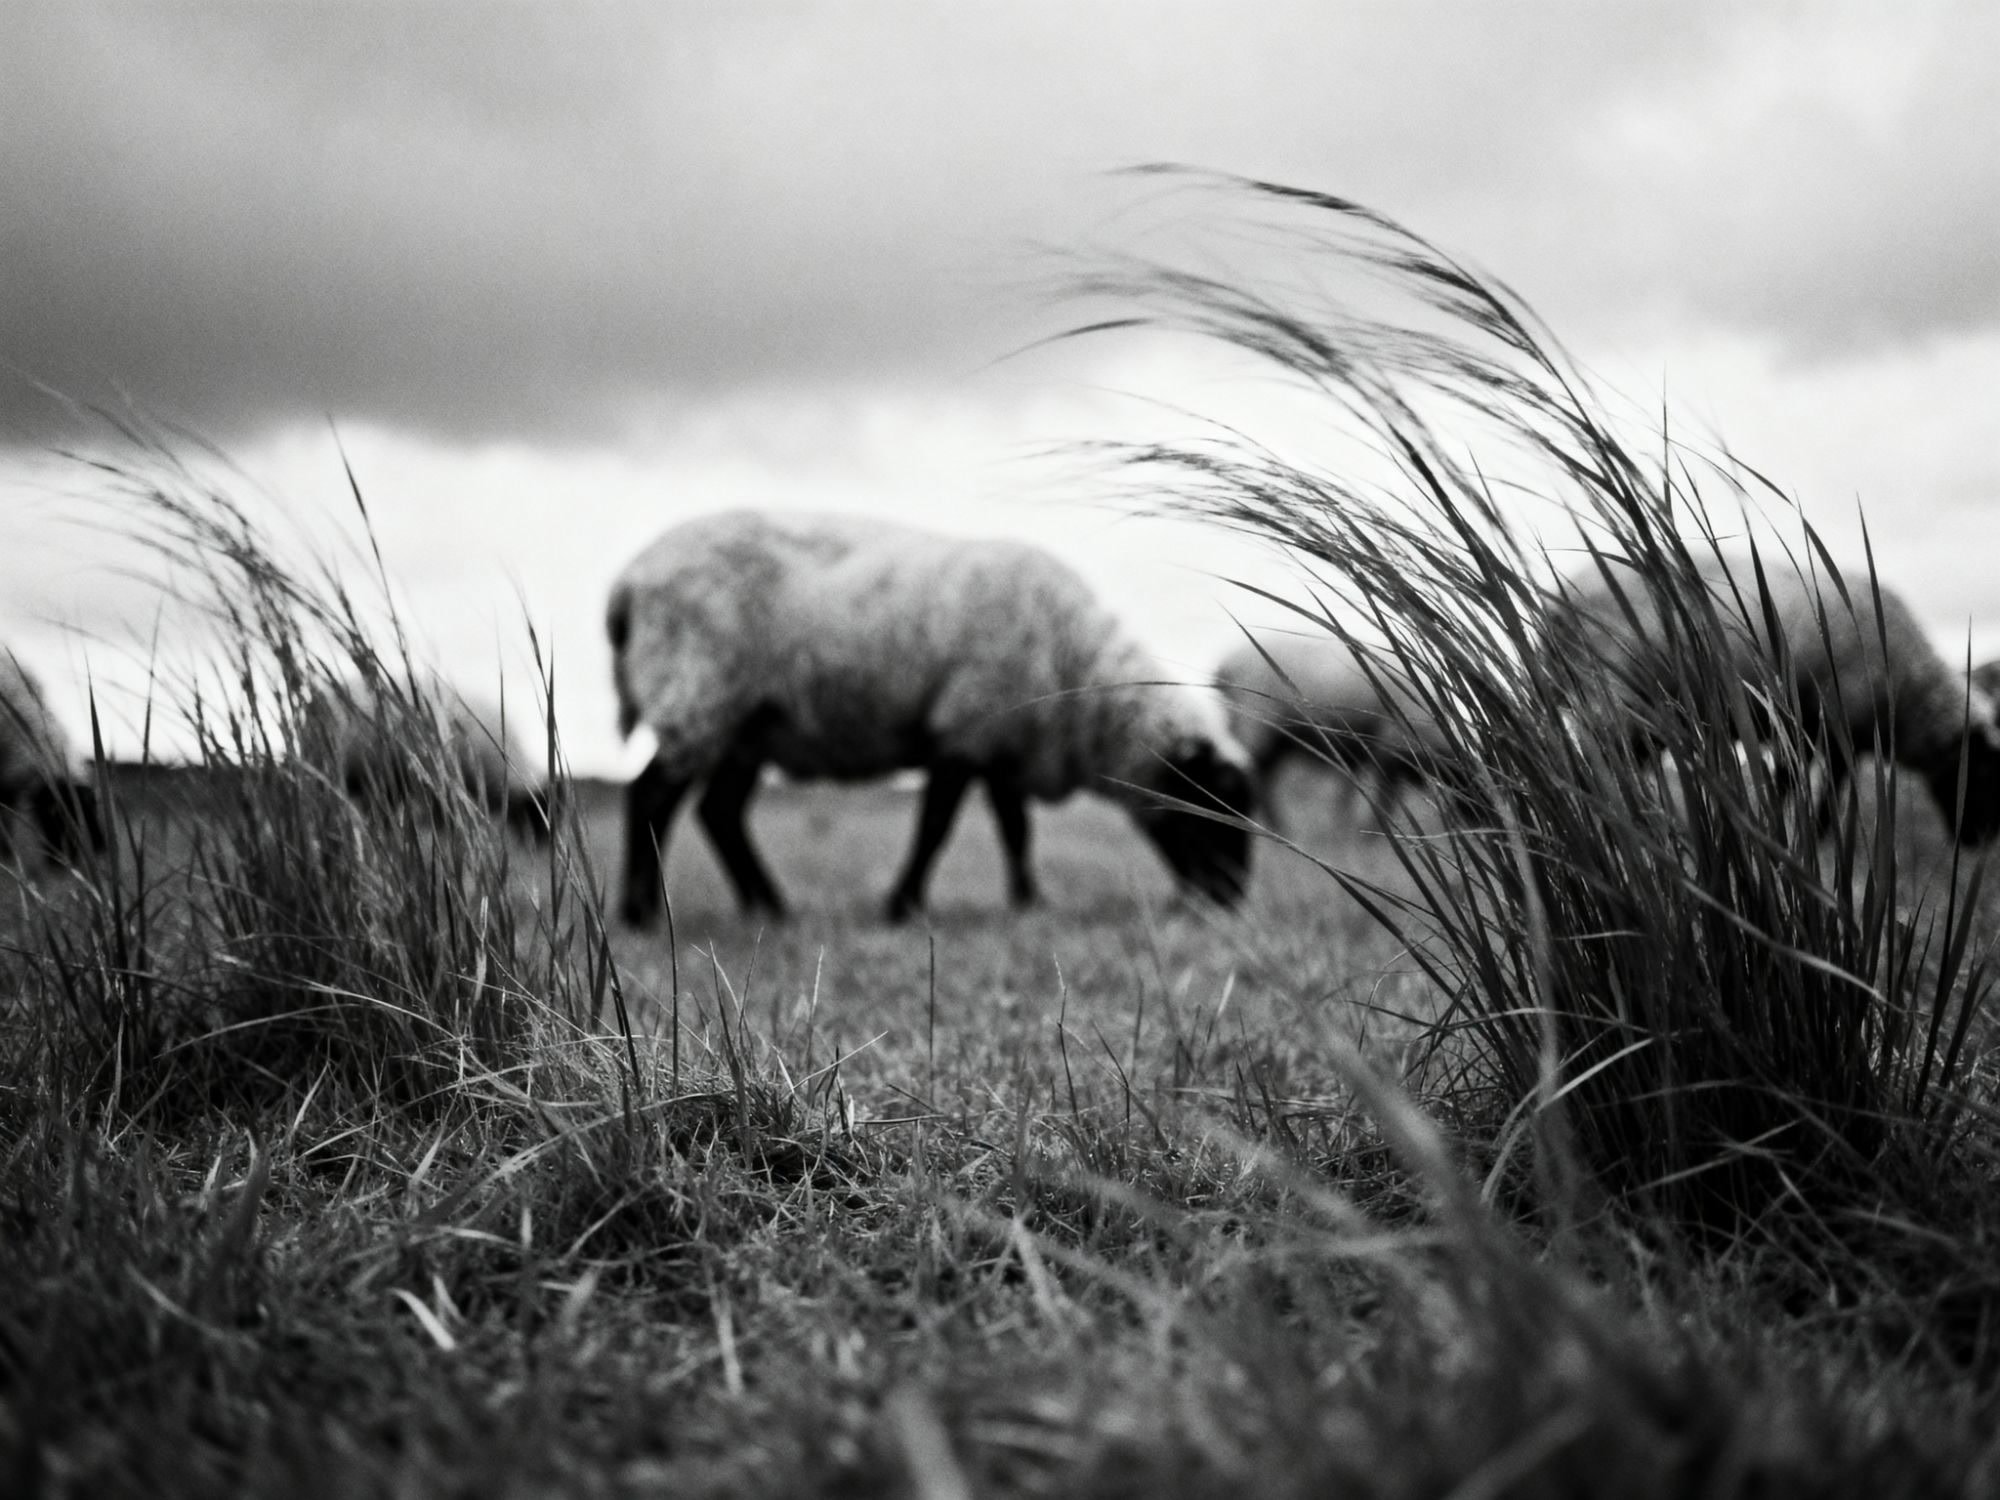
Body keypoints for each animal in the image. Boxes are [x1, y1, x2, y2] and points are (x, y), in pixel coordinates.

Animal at [607, 509, 1256, 924]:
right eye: (1214, 812)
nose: (1231, 902)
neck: (1079, 676)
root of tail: (628, 584)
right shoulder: (966, 728)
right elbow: (936, 827)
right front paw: (904, 906)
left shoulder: (1002, 740)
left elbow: (1015, 830)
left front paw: (1029, 901)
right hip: (698, 694)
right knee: (652, 795)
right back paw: (639, 914)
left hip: (747, 725)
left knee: (719, 813)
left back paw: (769, 907)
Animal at [1213, 632, 1441, 830]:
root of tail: (1224, 667)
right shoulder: (1388, 753)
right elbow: (1385, 798)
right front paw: (1372, 832)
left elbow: (1350, 792)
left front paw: (1345, 824)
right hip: (1255, 725)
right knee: (1252, 775)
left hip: (1275, 740)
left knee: (1264, 777)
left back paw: (1276, 825)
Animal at [1548, 551, 2000, 845]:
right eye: (1982, 770)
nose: (1981, 844)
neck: (1907, 691)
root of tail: (1557, 602)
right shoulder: (1831, 724)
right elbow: (1815, 782)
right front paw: (1811, 832)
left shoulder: (1813, 729)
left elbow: (1801, 781)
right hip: (1613, 686)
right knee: (1602, 754)